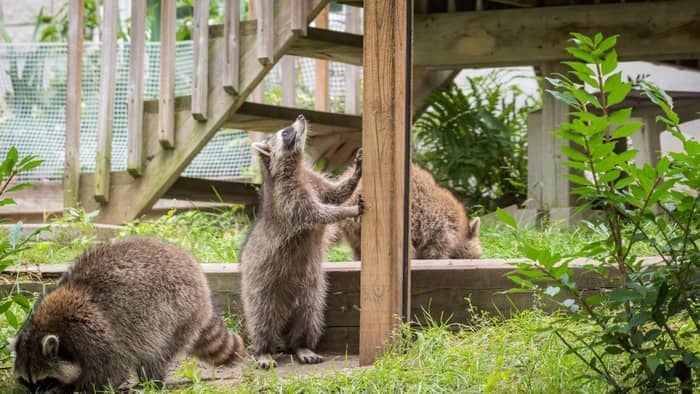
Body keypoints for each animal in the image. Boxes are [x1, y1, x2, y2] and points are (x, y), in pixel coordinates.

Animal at [9, 235, 246, 392]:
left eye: (45, 380)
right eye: (26, 381)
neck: (47, 325)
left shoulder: (96, 337)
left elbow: (109, 372)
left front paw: (77, 389)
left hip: (177, 311)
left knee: (155, 352)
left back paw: (151, 382)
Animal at [239, 114, 360, 370]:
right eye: (285, 133)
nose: (301, 116)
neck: (294, 167)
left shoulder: (313, 180)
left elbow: (336, 193)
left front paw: (355, 175)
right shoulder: (290, 200)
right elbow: (320, 214)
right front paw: (348, 211)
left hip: (312, 290)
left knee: (310, 316)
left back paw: (301, 345)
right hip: (259, 285)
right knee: (261, 317)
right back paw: (263, 349)